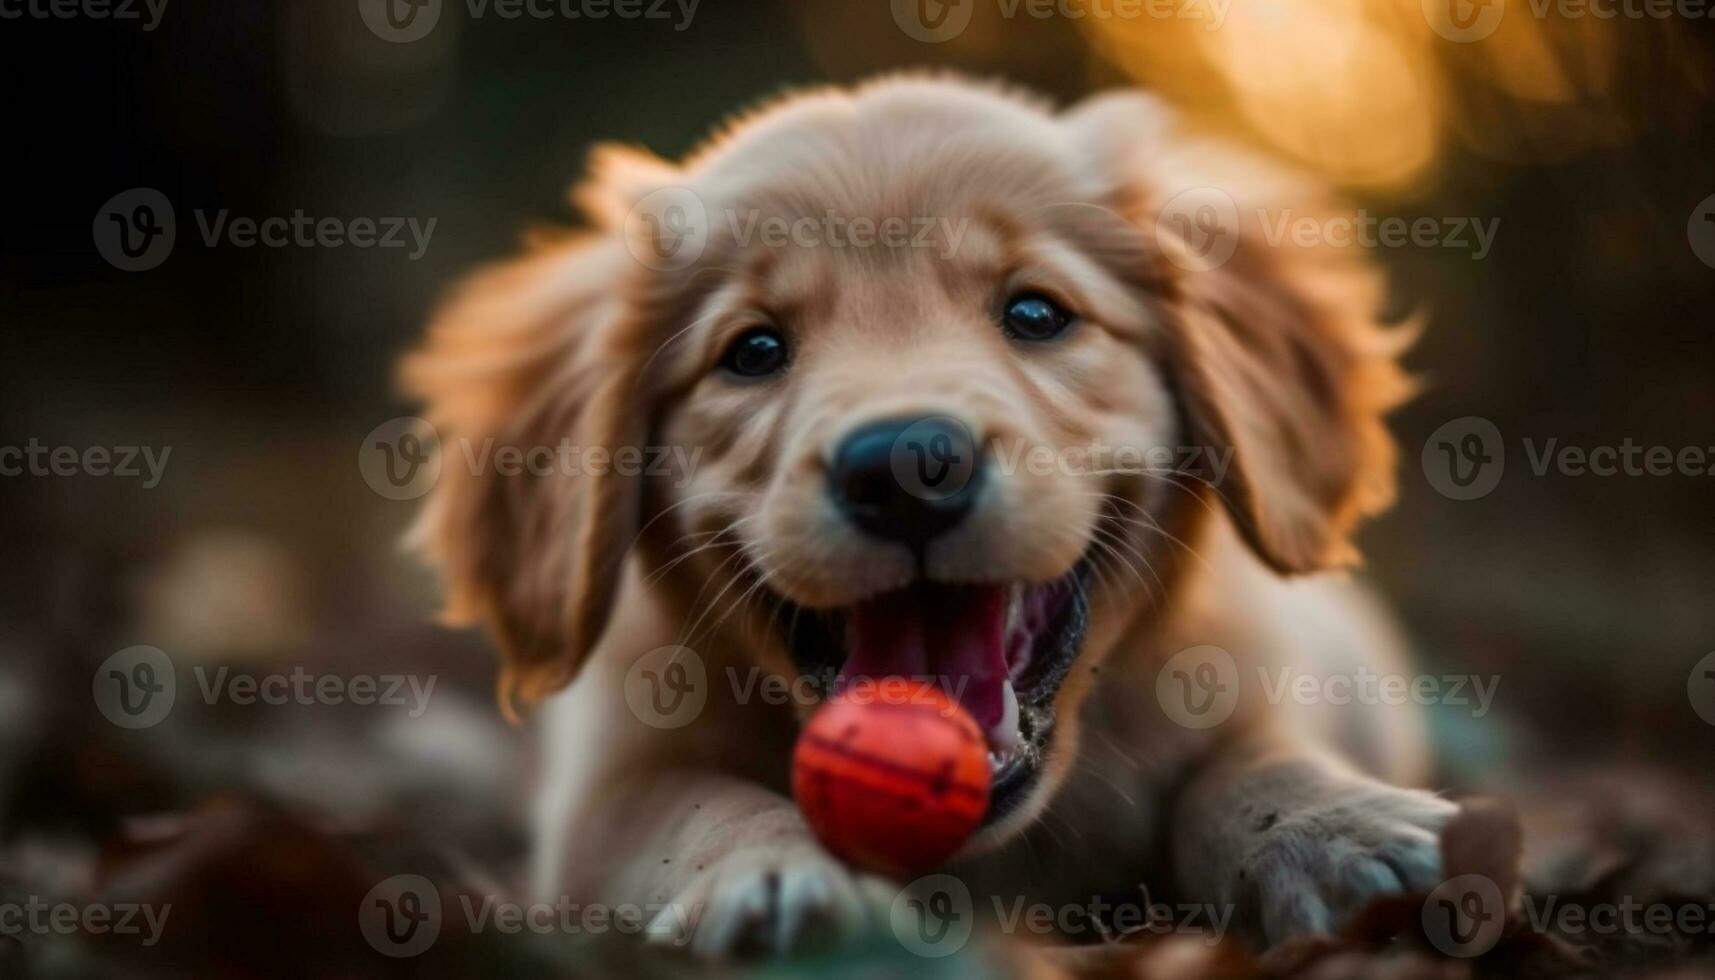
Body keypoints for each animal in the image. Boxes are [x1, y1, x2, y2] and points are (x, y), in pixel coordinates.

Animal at [401, 74, 1447, 961]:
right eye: (753, 351)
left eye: (1035, 313)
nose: (906, 468)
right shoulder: (598, 795)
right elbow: (683, 806)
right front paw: (768, 872)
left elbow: (1243, 761)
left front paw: (1336, 829)